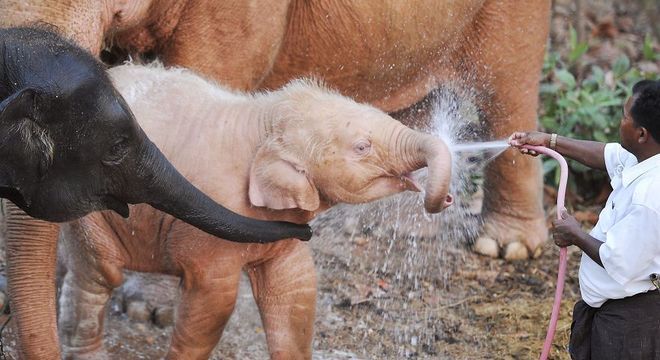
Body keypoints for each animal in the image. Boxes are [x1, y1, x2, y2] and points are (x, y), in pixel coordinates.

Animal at [59, 65, 454, 360]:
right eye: (361, 147)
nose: (446, 199)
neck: (264, 119)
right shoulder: (208, 226)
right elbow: (213, 304)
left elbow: (296, 292)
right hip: (86, 206)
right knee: (98, 275)